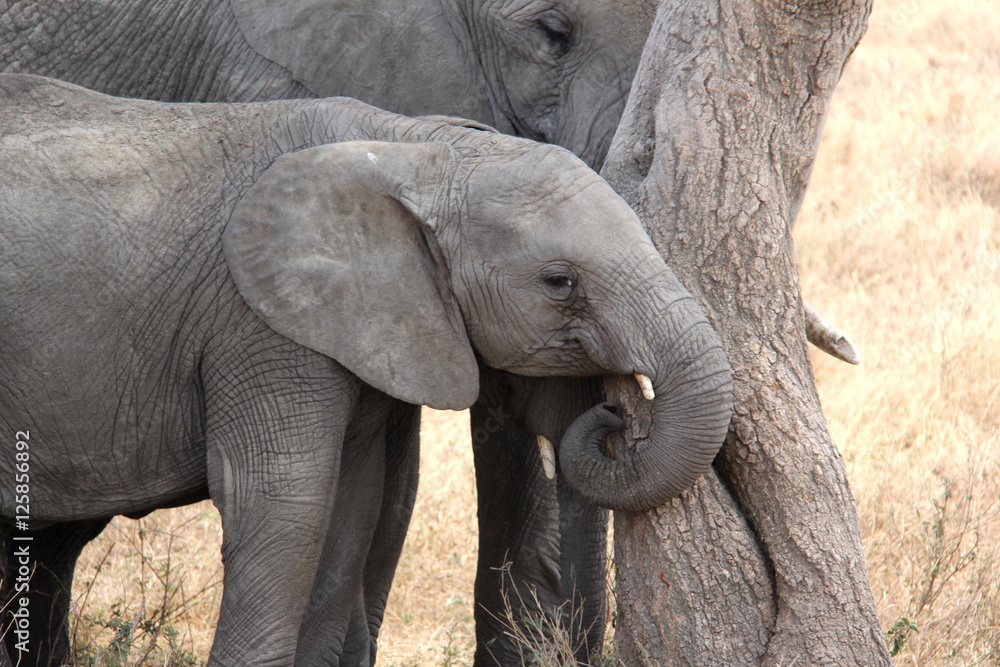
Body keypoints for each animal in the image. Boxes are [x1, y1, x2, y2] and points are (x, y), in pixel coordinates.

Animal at [0, 2, 662, 661]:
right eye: (552, 34)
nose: (615, 413)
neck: (408, 148)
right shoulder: (263, 320)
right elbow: (297, 499)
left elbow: (365, 495)